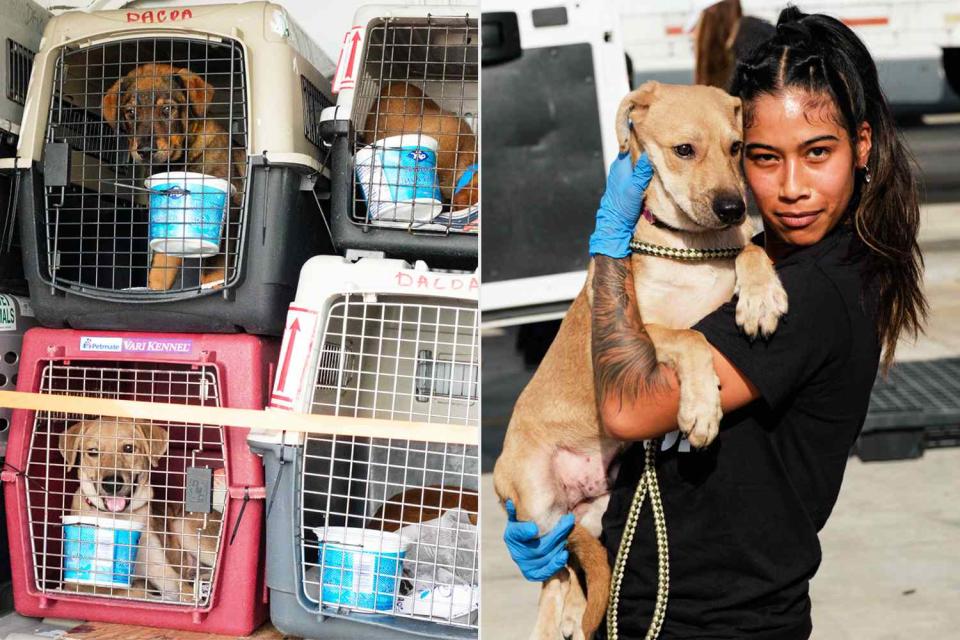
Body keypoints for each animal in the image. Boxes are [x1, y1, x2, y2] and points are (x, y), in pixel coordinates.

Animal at [59, 418, 224, 604]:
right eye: (93, 452)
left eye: (128, 448)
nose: (112, 484)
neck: (117, 518)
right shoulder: (75, 583)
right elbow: (127, 591)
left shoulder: (166, 575)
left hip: (182, 526)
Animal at [98, 61, 246, 292]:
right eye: (130, 112)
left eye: (167, 109)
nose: (145, 150)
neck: (180, 162)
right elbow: (160, 268)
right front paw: (152, 292)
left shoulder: (231, 212)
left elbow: (214, 271)